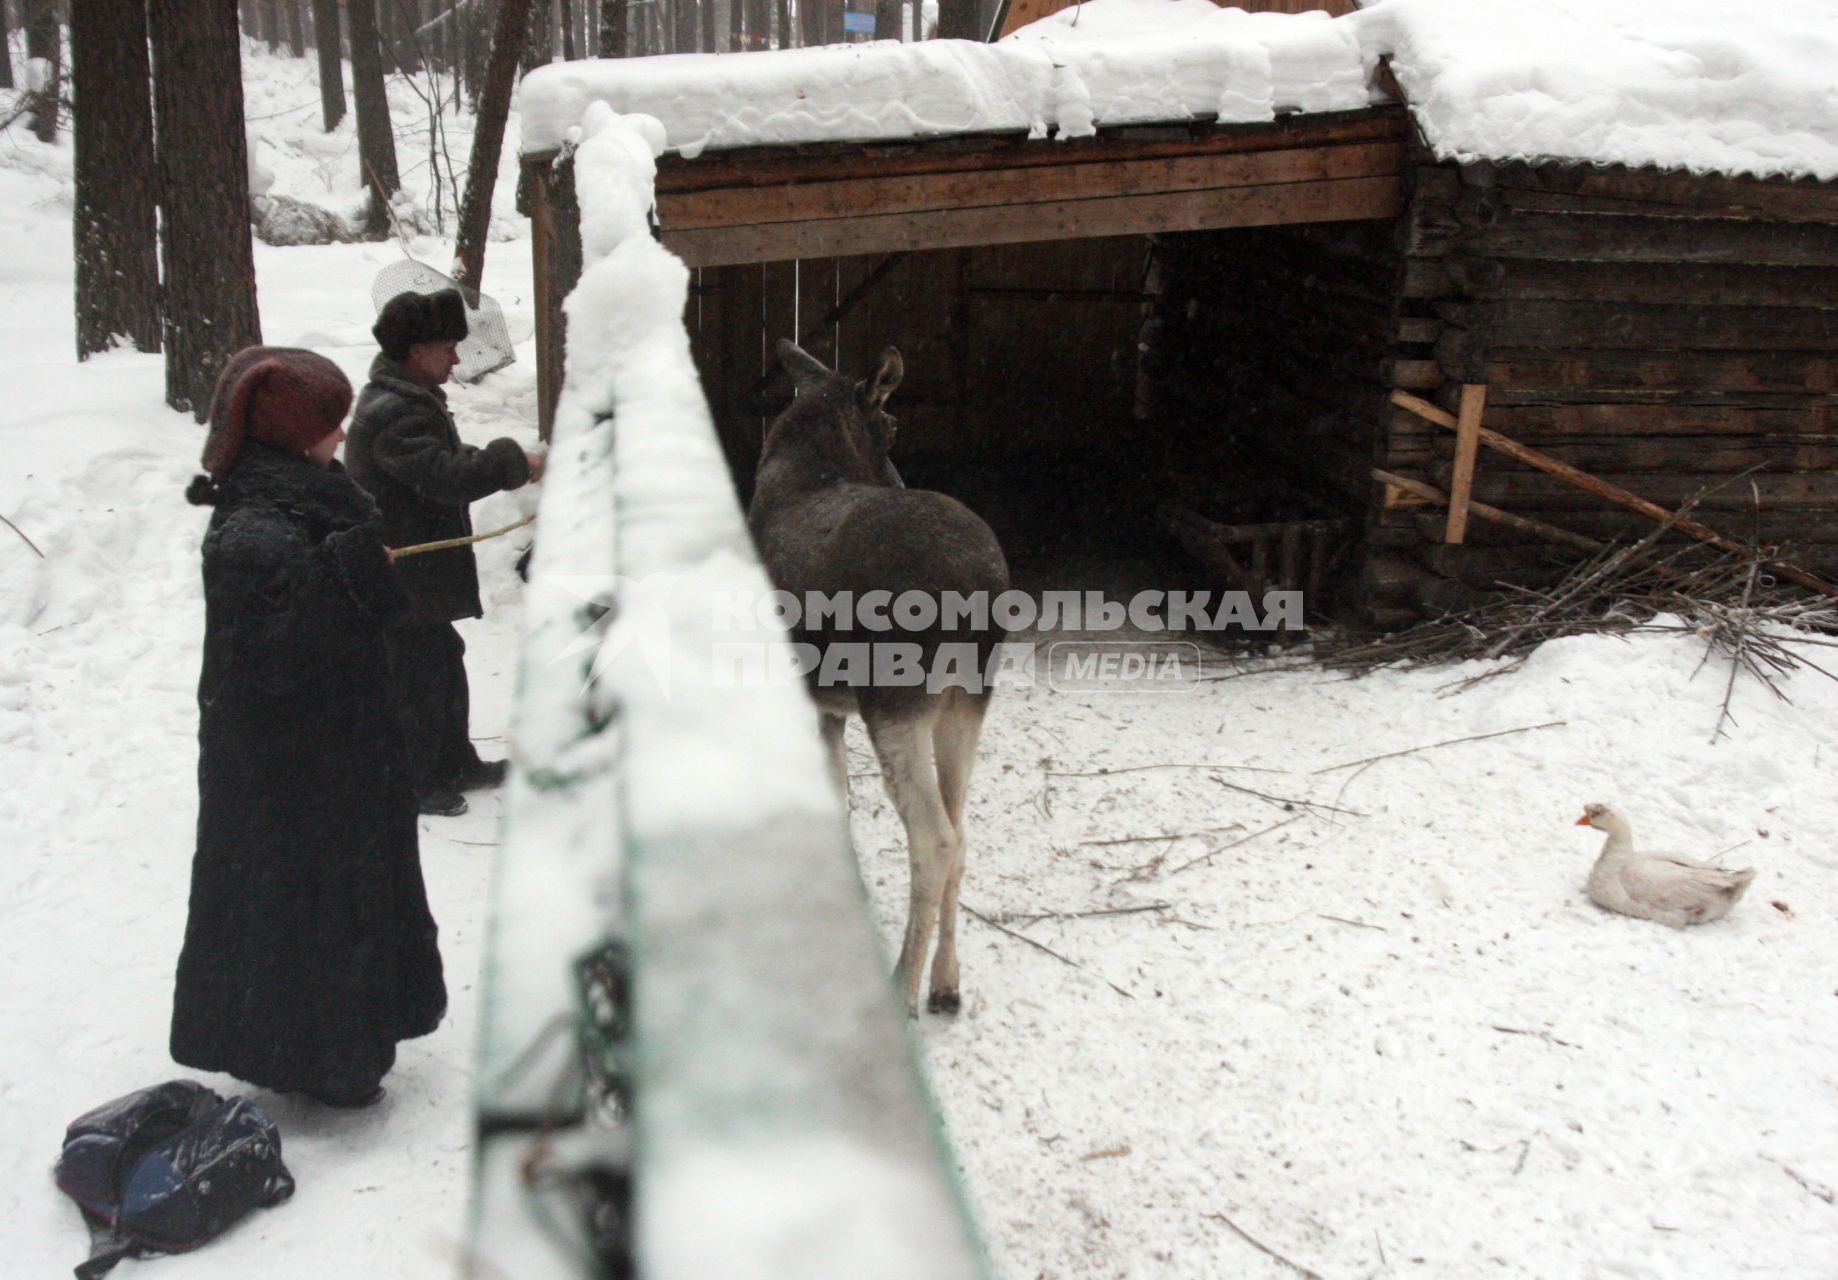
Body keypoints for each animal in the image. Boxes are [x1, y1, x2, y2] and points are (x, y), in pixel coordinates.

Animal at [746, 340, 1007, 1022]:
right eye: (891, 425)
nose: (897, 476)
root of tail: (980, 593)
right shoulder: (828, 703)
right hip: (966, 702)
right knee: (961, 831)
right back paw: (945, 983)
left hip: (895, 700)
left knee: (934, 838)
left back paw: (903, 991)